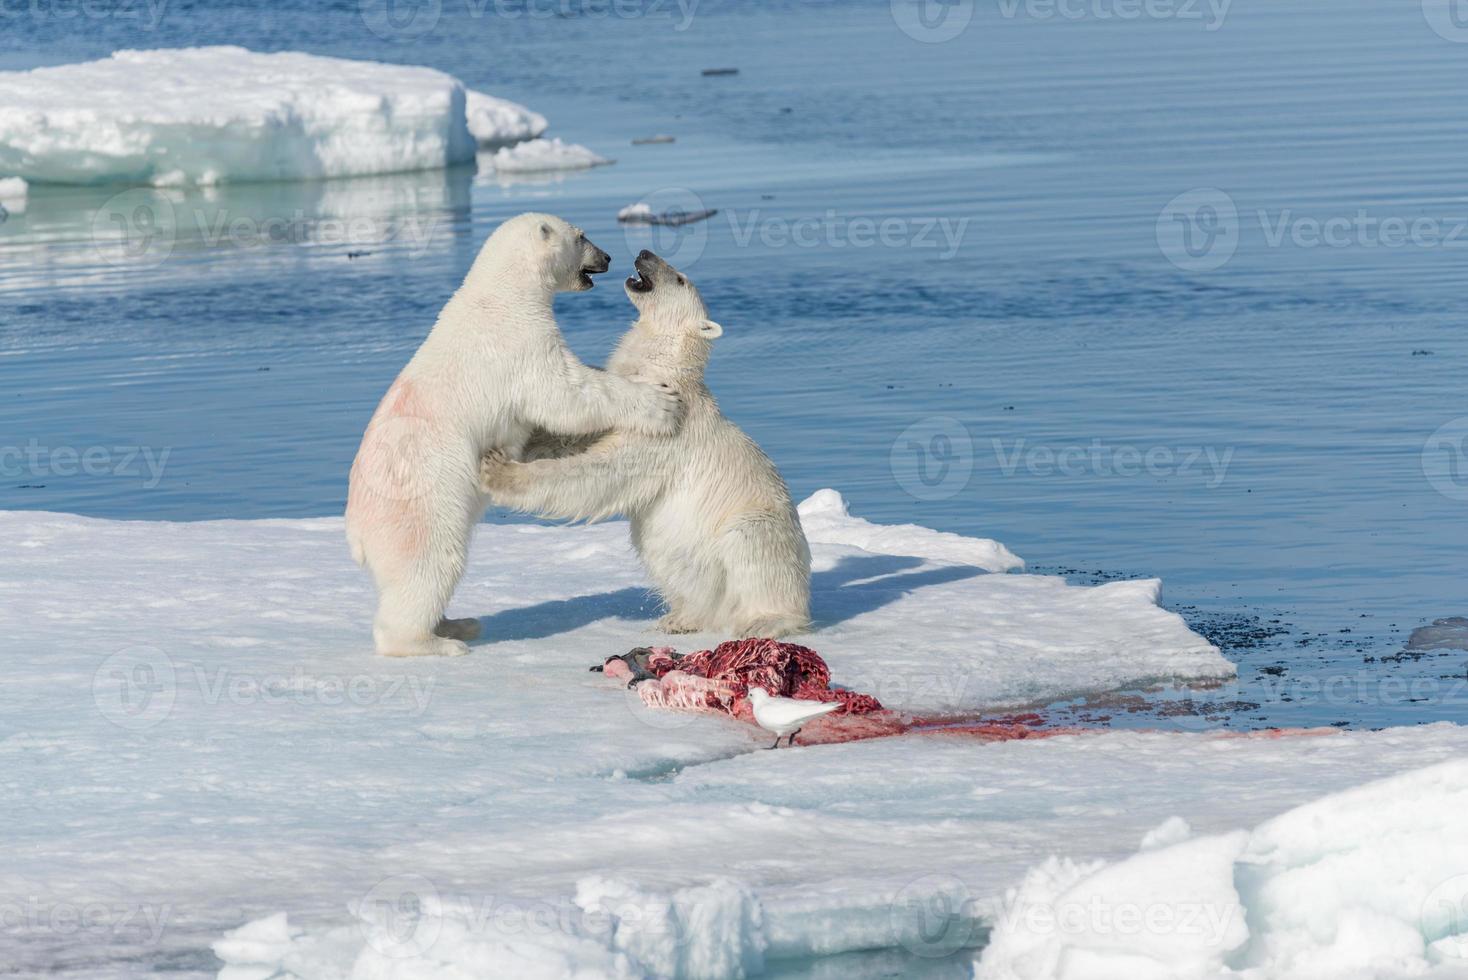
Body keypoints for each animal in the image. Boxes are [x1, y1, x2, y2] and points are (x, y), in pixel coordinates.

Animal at [344, 215, 681, 657]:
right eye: (581, 236)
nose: (607, 257)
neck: (501, 294)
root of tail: (356, 530)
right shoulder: (519, 344)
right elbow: (566, 393)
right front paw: (660, 403)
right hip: (418, 508)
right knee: (430, 565)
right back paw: (437, 642)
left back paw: (458, 623)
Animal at [478, 249, 810, 639]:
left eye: (679, 278)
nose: (645, 253)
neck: (663, 373)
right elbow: (582, 434)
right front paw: (528, 436)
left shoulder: (665, 434)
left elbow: (600, 471)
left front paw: (498, 470)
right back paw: (680, 618)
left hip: (758, 528)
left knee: (751, 547)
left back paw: (763, 622)